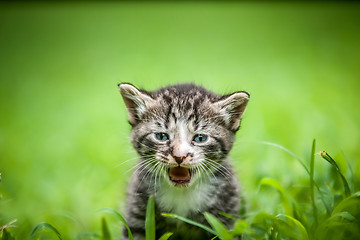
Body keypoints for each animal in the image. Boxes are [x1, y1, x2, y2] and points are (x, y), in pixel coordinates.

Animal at [119, 83, 249, 240]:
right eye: (161, 136)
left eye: (200, 138)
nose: (179, 156)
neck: (182, 193)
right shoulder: (137, 215)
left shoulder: (226, 216)